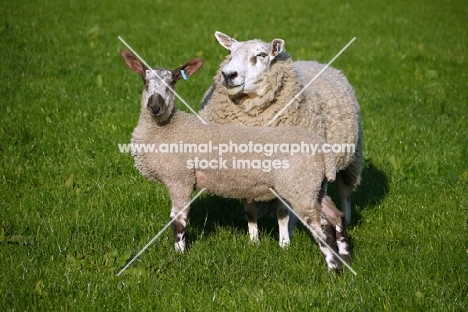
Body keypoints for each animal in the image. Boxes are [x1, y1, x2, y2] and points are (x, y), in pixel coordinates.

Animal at [120, 50, 352, 270]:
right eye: (145, 81)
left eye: (172, 83)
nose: (154, 107)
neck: (167, 128)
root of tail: (323, 150)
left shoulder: (179, 179)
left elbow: (178, 221)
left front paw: (179, 255)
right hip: (314, 185)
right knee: (336, 216)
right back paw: (346, 257)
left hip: (300, 186)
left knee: (320, 227)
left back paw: (334, 268)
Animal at [199, 31, 364, 239]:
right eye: (230, 52)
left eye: (262, 55)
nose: (228, 75)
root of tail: (316, 62)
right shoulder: (242, 171)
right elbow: (250, 210)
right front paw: (253, 240)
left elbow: (283, 213)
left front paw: (284, 242)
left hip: (349, 155)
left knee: (344, 191)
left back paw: (346, 219)